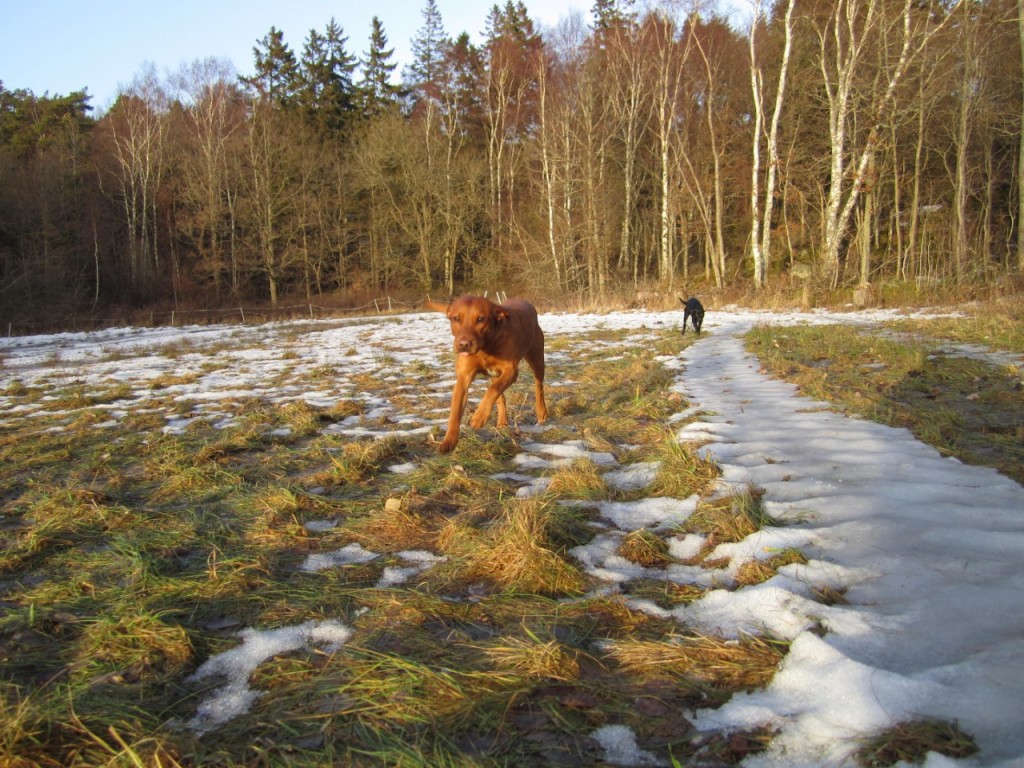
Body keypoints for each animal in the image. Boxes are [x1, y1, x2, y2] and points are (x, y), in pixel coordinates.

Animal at [428, 292, 548, 450]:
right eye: (456, 318)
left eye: (481, 319)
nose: (463, 345)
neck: (485, 347)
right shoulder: (463, 378)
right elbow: (454, 412)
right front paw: (448, 441)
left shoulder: (511, 370)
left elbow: (493, 389)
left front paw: (478, 418)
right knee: (500, 397)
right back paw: (502, 421)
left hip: (537, 358)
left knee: (538, 386)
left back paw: (541, 413)